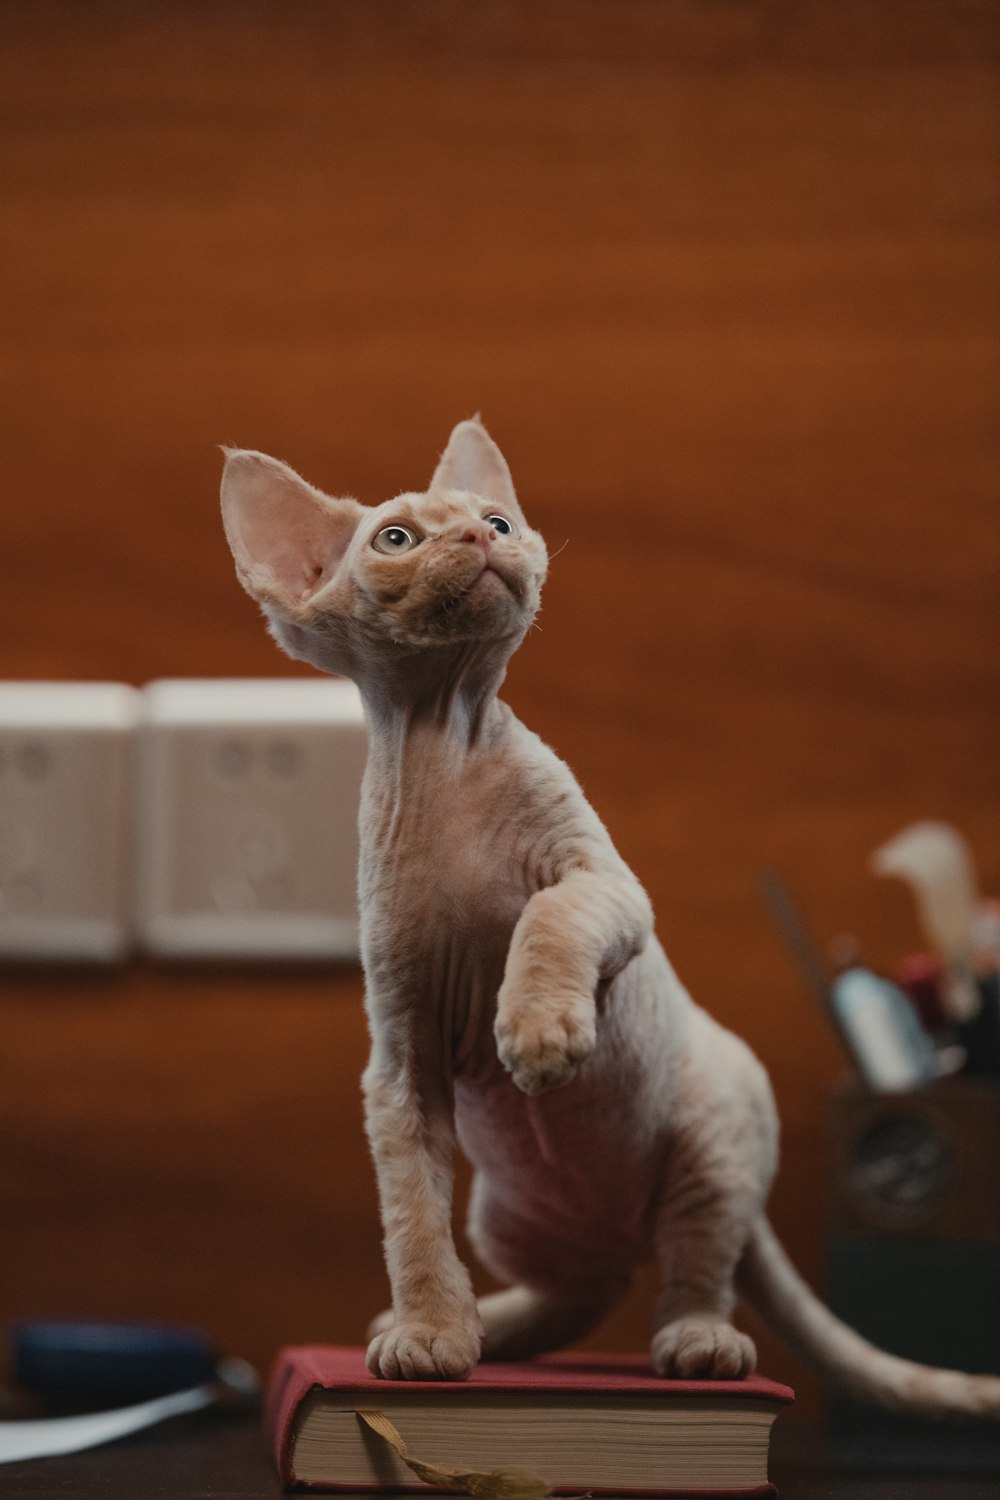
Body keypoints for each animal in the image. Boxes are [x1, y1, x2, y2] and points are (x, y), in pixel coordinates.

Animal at [223, 417, 1000, 1410]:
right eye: (396, 538)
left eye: (497, 518)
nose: (480, 536)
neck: (445, 746)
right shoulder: (400, 1062)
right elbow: (412, 1219)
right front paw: (430, 1333)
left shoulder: (610, 883)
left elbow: (549, 914)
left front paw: (538, 1030)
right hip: (508, 1216)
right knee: (588, 1284)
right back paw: (493, 1327)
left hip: (713, 1143)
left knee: (695, 1264)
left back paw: (701, 1342)